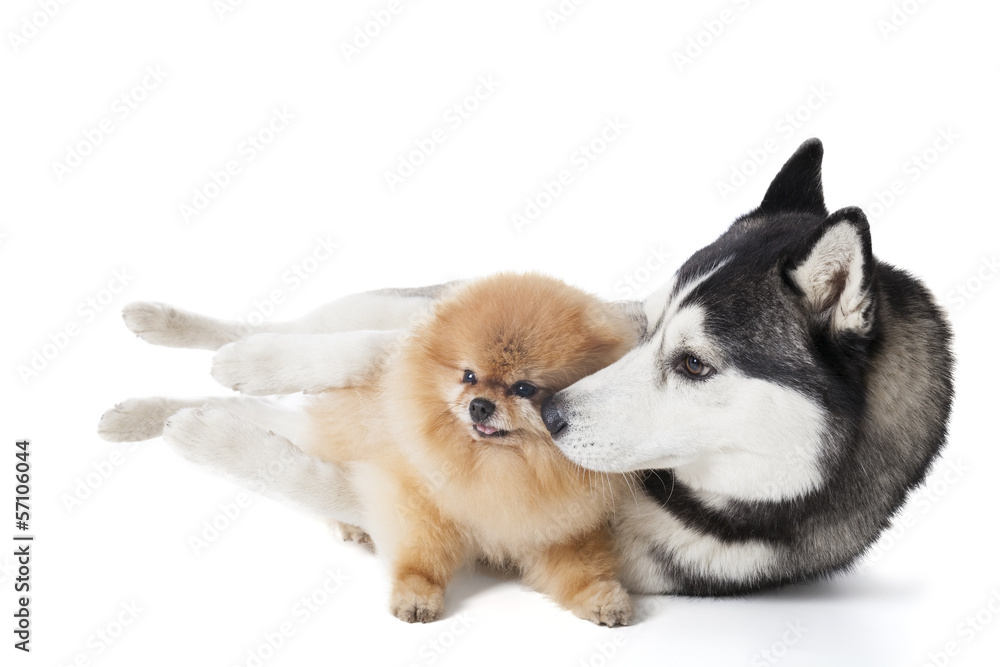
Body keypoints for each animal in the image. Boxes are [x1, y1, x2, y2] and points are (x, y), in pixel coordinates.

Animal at [302, 272, 640, 628]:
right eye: (469, 376)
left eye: (524, 388)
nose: (479, 405)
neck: (499, 462)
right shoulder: (418, 500)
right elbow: (419, 554)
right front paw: (416, 594)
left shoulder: (561, 523)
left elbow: (583, 568)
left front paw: (601, 597)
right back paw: (350, 525)